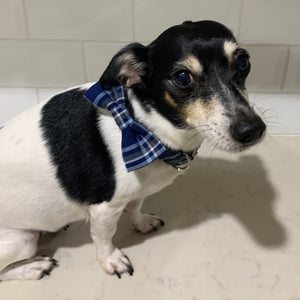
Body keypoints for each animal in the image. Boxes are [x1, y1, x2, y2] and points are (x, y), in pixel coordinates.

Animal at [0, 19, 266, 280]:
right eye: (182, 77)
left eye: (243, 62)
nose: (252, 129)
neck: (144, 128)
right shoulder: (104, 210)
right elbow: (104, 238)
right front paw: (111, 260)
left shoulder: (138, 191)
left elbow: (136, 207)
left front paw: (141, 223)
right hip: (21, 241)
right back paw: (33, 267)